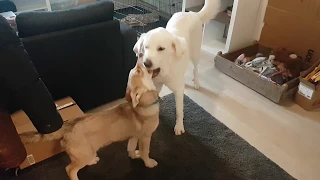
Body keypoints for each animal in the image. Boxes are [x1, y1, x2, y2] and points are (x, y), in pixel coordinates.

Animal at [20, 57, 160, 180]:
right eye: (138, 70)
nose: (142, 57)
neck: (143, 105)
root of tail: (67, 126)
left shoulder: (134, 135)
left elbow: (130, 148)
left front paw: (134, 155)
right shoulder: (145, 137)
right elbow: (145, 152)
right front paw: (149, 163)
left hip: (85, 153)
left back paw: (93, 160)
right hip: (83, 156)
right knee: (69, 169)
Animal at [134, 0, 221, 135]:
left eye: (161, 49)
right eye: (146, 47)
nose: (146, 63)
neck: (164, 70)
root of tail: (192, 13)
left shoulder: (178, 91)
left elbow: (180, 111)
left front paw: (179, 126)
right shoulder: (156, 85)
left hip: (195, 53)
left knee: (195, 69)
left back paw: (196, 82)